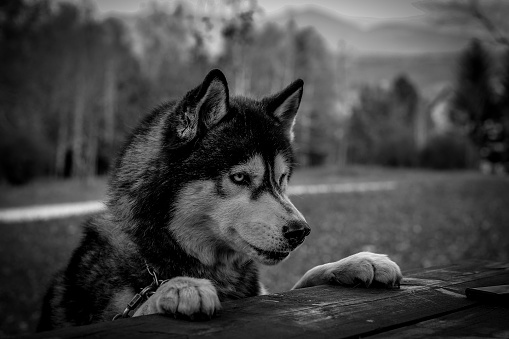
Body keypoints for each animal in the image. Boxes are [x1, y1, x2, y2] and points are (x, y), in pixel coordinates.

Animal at [37, 69, 400, 332]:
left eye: (282, 179)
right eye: (239, 178)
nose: (300, 231)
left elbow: (304, 278)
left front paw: (357, 262)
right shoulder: (104, 314)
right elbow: (137, 309)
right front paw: (177, 288)